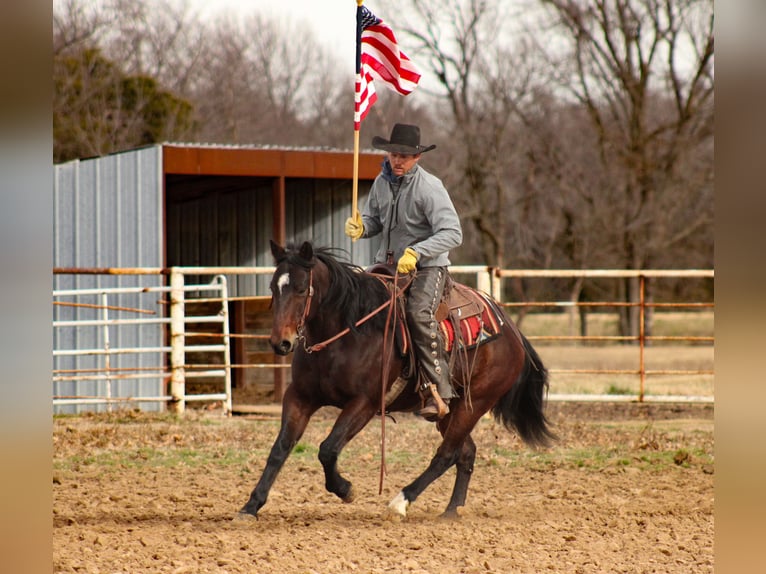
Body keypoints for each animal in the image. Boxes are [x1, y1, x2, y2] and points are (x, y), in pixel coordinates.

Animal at [238, 240, 555, 520]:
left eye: (302, 289)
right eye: (273, 287)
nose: (280, 342)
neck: (347, 331)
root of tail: (511, 330)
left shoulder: (364, 403)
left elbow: (328, 449)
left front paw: (345, 489)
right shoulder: (300, 397)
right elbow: (280, 448)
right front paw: (251, 506)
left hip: (474, 403)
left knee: (446, 454)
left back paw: (400, 502)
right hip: (449, 409)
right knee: (465, 452)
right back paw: (452, 510)